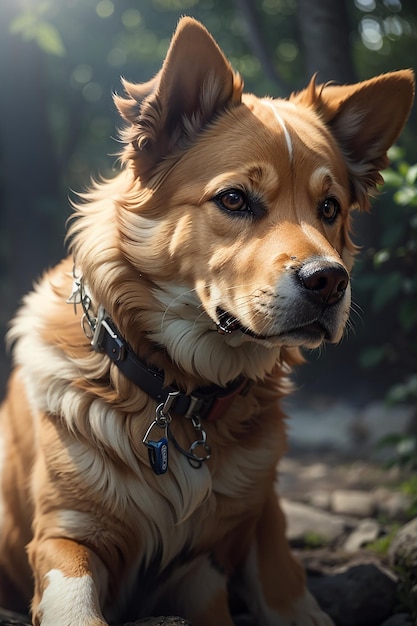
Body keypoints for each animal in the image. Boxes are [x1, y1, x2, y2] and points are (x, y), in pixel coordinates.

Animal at [0, 13, 412, 624]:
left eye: (329, 208)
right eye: (235, 199)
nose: (330, 281)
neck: (179, 396)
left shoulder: (202, 564)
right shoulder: (63, 535)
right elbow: (73, 602)